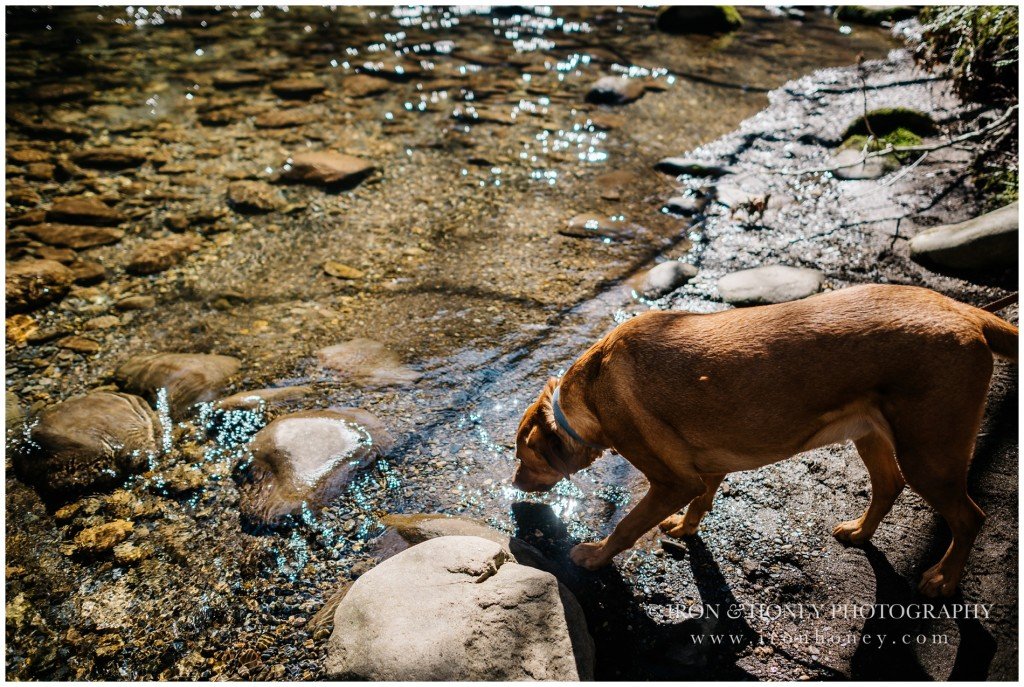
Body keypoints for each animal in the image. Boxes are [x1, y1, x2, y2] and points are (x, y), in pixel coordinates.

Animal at [512, 284, 1015, 597]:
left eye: (523, 457)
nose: (514, 484)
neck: (589, 395)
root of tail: (964, 311)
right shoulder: (705, 469)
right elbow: (702, 500)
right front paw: (685, 528)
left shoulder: (671, 481)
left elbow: (627, 526)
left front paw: (595, 556)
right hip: (873, 434)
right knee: (889, 486)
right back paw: (859, 532)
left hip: (929, 453)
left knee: (970, 517)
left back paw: (944, 580)